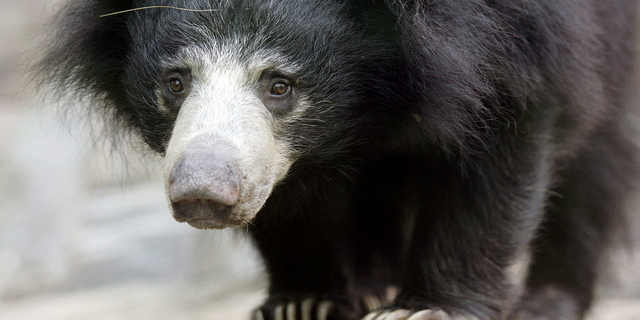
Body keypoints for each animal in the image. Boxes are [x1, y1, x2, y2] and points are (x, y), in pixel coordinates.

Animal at [36, 0, 640, 320]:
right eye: (176, 82)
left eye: (279, 85)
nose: (203, 194)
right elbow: (289, 203)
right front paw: (304, 302)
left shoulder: (523, 34)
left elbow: (500, 146)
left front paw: (428, 309)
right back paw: (374, 283)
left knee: (596, 167)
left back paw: (549, 301)